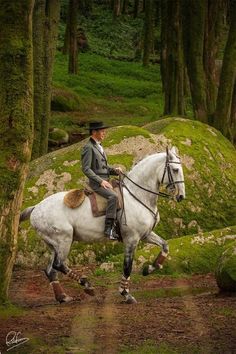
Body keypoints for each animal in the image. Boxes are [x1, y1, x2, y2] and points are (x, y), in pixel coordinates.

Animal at [20, 147, 185, 304]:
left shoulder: (145, 234)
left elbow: (165, 246)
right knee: (58, 265)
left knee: (51, 270)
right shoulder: (131, 239)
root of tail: (36, 207)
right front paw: (125, 294)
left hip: (54, 245)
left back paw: (63, 297)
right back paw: (87, 285)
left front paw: (149, 269)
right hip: (64, 240)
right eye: (175, 170)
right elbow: (127, 266)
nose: (181, 196)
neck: (137, 196)